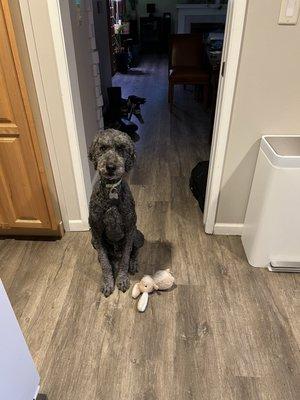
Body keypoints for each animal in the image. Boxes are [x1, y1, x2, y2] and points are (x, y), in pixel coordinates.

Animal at [88, 129, 144, 296]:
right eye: (103, 148)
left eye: (121, 148)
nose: (111, 166)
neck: (111, 189)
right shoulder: (96, 232)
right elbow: (105, 262)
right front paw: (108, 282)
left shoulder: (129, 228)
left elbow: (125, 258)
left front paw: (123, 279)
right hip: (93, 241)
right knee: (106, 257)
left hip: (138, 236)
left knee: (134, 251)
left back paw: (133, 264)